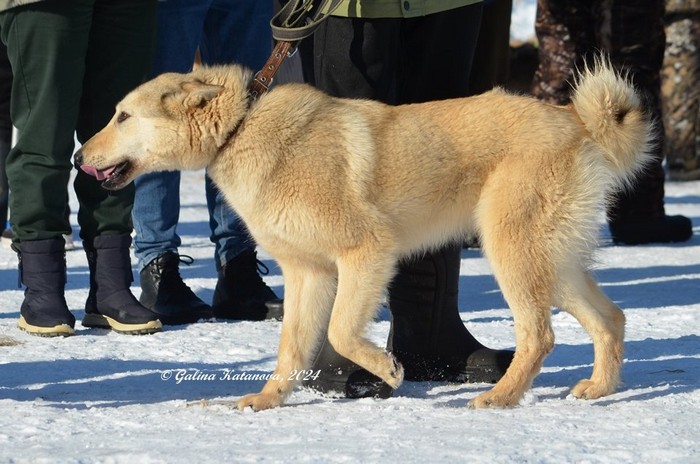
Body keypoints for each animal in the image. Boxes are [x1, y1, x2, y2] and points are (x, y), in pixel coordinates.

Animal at [76, 57, 653, 411]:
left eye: (123, 116)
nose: (79, 158)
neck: (242, 128)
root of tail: (577, 121)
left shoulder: (366, 254)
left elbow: (339, 332)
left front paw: (389, 370)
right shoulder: (307, 273)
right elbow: (294, 346)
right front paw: (267, 400)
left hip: (513, 252)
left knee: (540, 335)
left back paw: (501, 397)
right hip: (551, 263)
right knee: (611, 320)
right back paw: (598, 388)